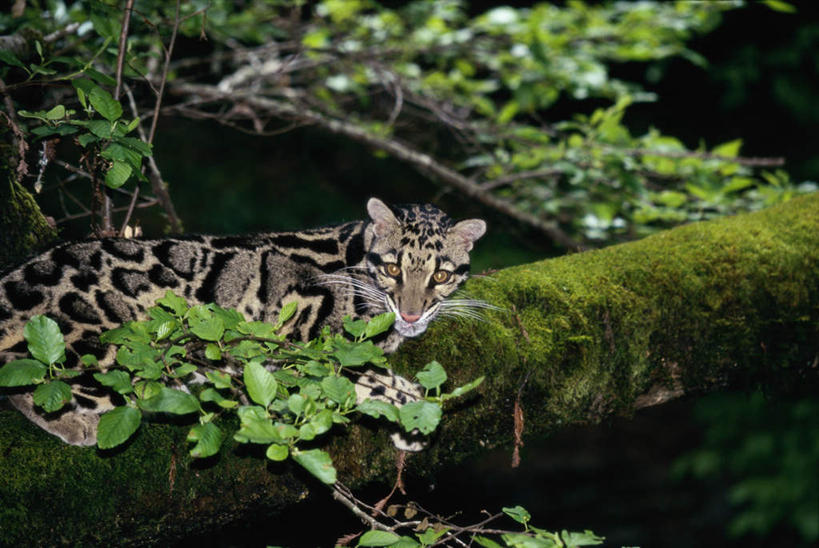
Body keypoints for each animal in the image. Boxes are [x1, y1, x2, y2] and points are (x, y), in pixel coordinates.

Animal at [0, 199, 486, 448]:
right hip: (110, 347)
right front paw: (410, 407)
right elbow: (358, 375)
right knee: (33, 378)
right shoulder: (294, 338)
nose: (410, 313)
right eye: (392, 269)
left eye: (440, 276)